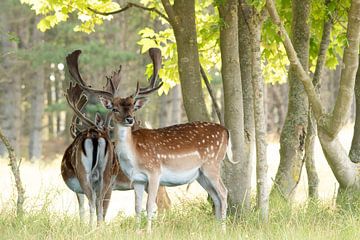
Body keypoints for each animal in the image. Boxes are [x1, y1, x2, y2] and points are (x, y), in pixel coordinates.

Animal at [69, 47, 233, 233]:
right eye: (115, 108)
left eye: (133, 107)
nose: (130, 119)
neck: (134, 157)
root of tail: (226, 131)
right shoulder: (138, 179)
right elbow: (137, 207)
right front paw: (137, 232)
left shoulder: (154, 172)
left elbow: (149, 206)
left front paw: (148, 232)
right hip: (201, 174)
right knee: (216, 196)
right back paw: (217, 229)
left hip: (212, 164)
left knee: (223, 193)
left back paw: (223, 230)